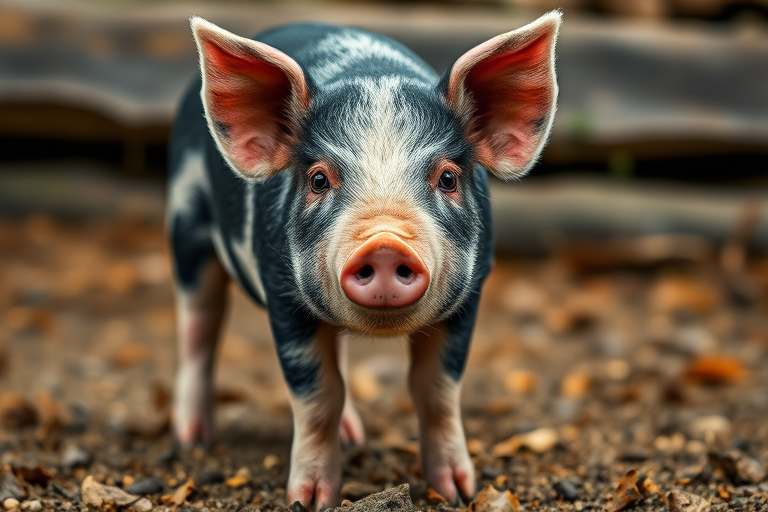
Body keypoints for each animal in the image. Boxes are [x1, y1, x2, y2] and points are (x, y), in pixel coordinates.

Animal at [168, 11, 560, 510]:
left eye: (448, 178)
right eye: (318, 179)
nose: (385, 245)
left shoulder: (471, 294)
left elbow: (437, 389)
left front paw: (458, 491)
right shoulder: (282, 294)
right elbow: (317, 394)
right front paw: (310, 500)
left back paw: (353, 437)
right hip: (186, 225)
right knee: (198, 327)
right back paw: (190, 440)